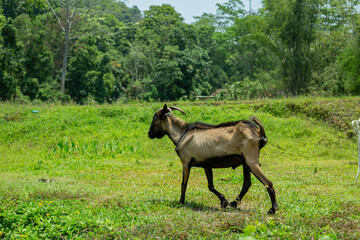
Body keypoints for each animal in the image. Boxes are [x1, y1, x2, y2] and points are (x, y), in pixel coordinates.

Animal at [148, 103, 280, 214]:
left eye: (155, 117)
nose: (149, 134)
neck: (182, 134)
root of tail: (259, 132)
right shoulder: (206, 164)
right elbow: (210, 186)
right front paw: (223, 201)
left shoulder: (186, 162)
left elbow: (183, 184)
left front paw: (181, 202)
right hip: (245, 163)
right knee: (247, 183)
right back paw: (233, 203)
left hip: (251, 160)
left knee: (268, 183)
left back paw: (273, 208)